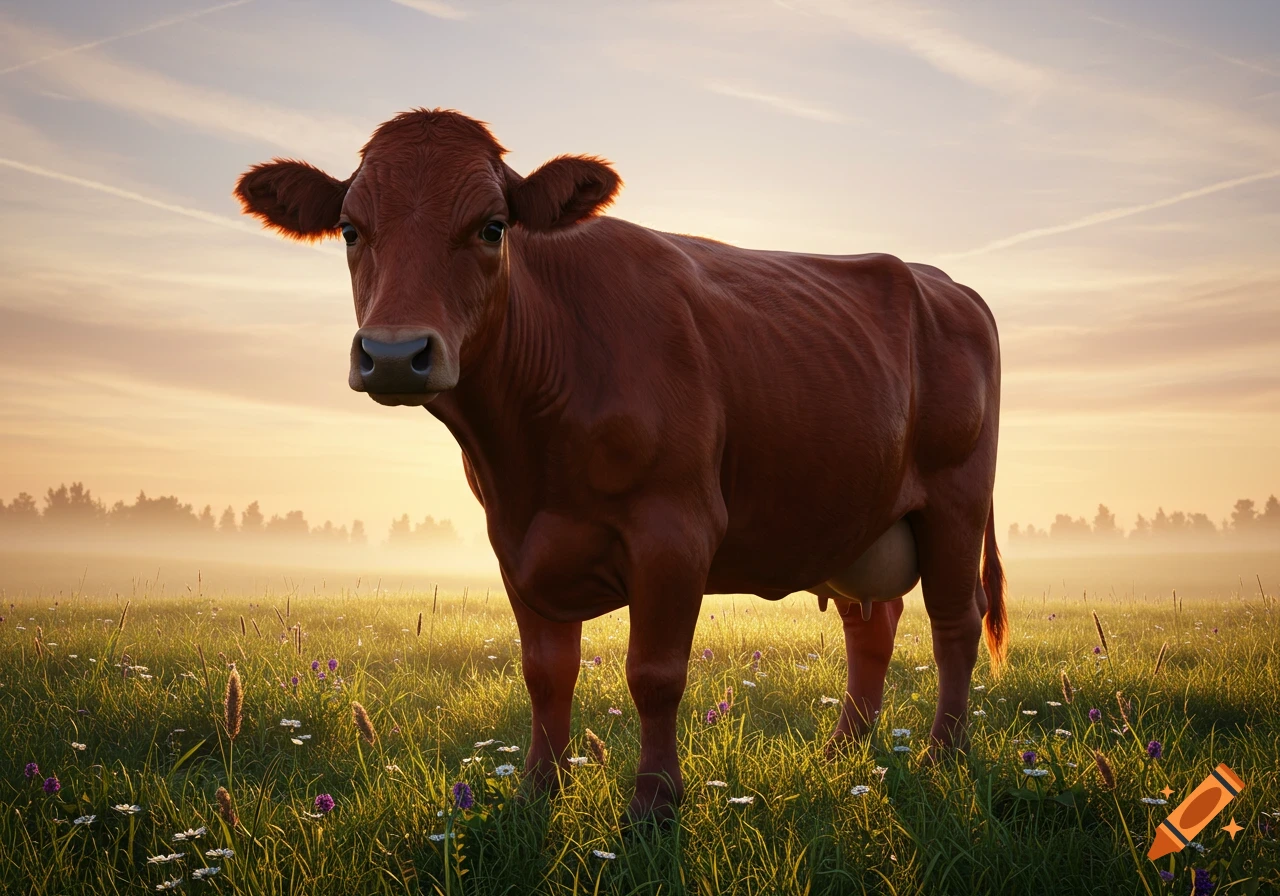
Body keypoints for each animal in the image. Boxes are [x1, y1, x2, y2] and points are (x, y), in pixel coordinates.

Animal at [234, 108, 1008, 826]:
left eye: (492, 227)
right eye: (349, 229)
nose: (395, 354)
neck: (527, 452)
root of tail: (944, 282)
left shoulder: (675, 532)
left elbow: (654, 675)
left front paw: (654, 806)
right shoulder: (515, 541)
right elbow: (546, 671)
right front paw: (537, 793)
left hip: (955, 501)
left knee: (955, 622)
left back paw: (943, 754)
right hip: (849, 517)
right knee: (871, 624)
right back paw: (840, 754)